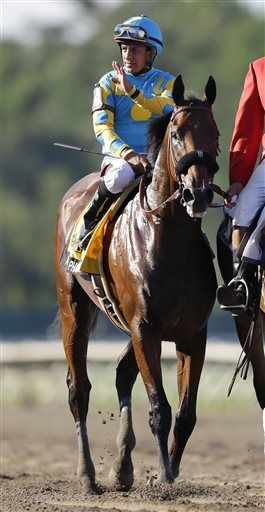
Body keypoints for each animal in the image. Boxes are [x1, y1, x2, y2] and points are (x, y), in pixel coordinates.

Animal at [53, 74, 219, 490]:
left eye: (214, 133)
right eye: (176, 134)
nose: (198, 192)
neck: (167, 240)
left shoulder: (192, 333)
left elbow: (187, 413)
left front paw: (167, 472)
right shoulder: (146, 328)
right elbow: (160, 407)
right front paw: (164, 475)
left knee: (121, 375)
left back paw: (122, 467)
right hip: (74, 310)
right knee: (78, 389)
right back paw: (88, 474)